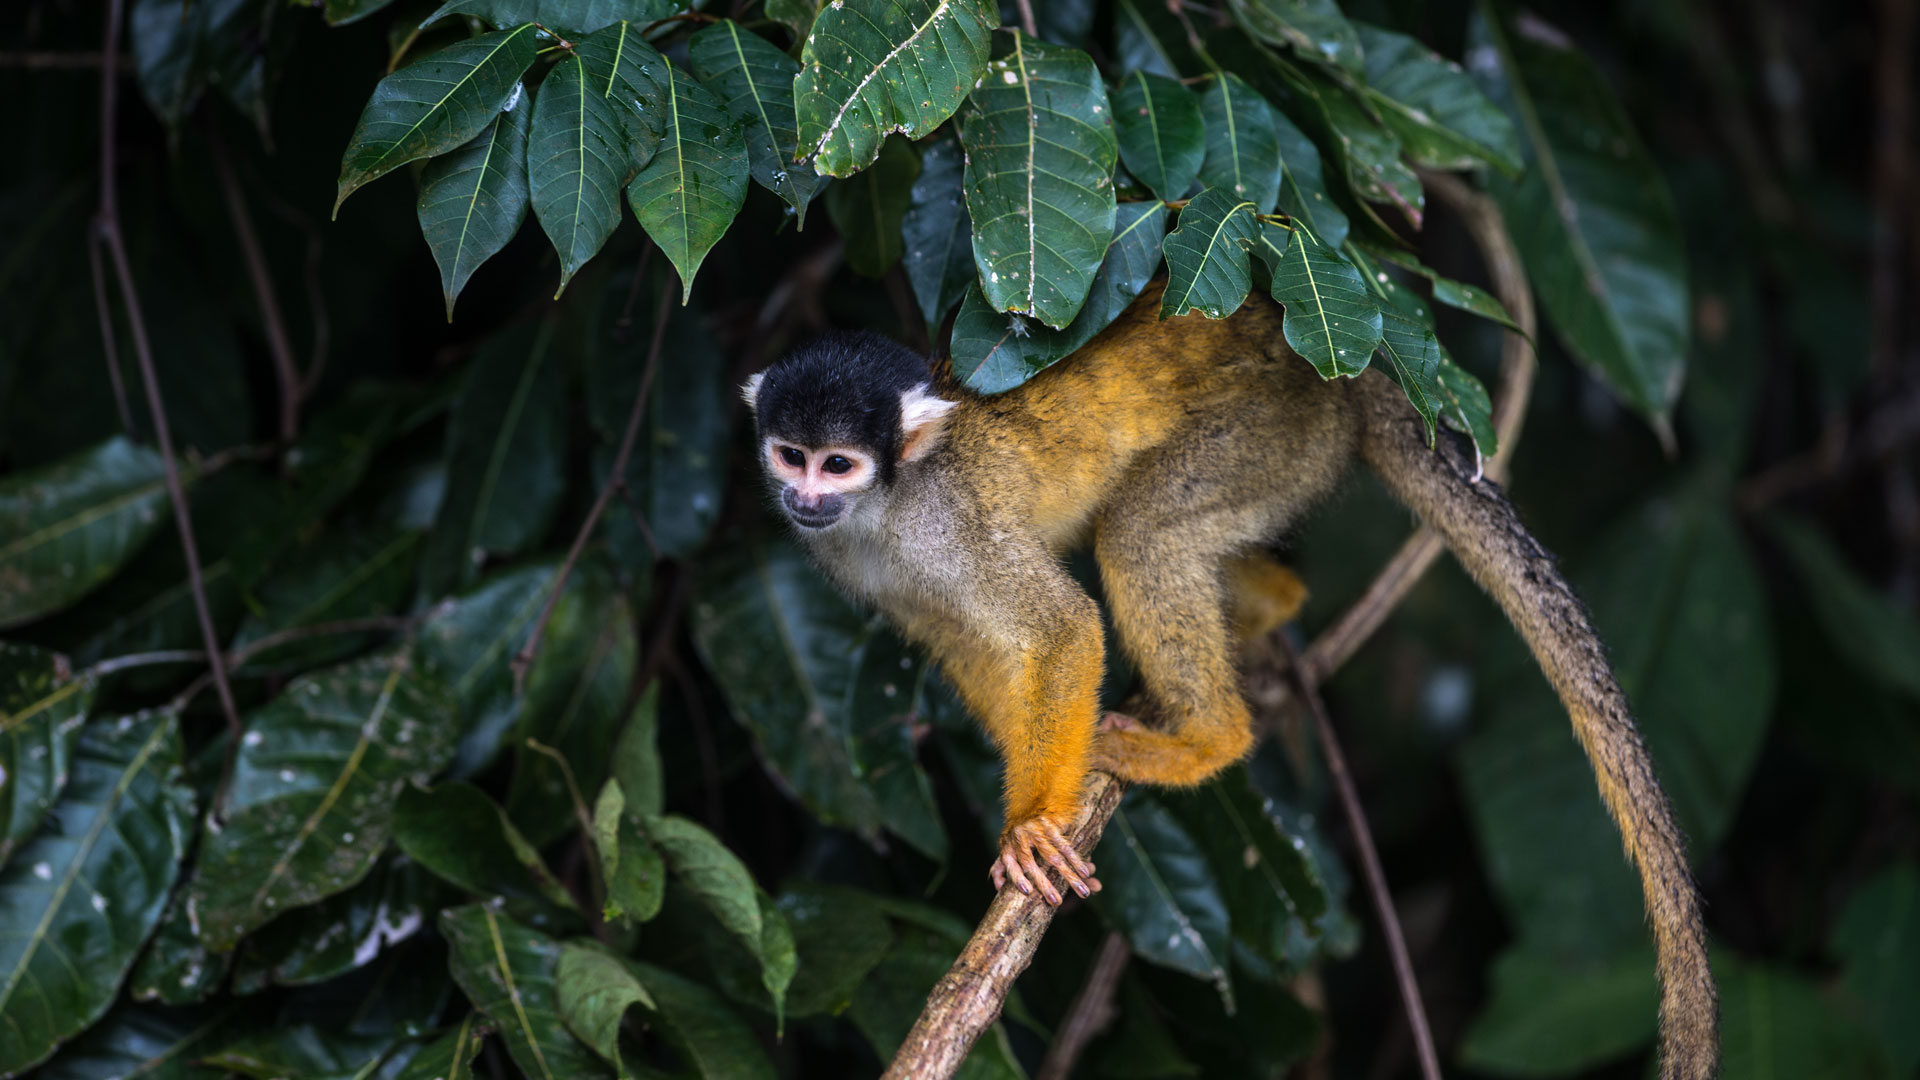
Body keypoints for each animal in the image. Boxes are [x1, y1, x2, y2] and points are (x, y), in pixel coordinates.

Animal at [741, 283, 1716, 1080]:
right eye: (791, 454)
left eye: (839, 463)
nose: (804, 499)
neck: (887, 507)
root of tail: (1353, 376)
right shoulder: (869, 570)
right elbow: (969, 648)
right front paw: (1029, 791)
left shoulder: (949, 528)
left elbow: (1060, 631)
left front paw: (1031, 824)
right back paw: (1269, 609)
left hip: (1269, 434)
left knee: (1141, 528)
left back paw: (1211, 737)